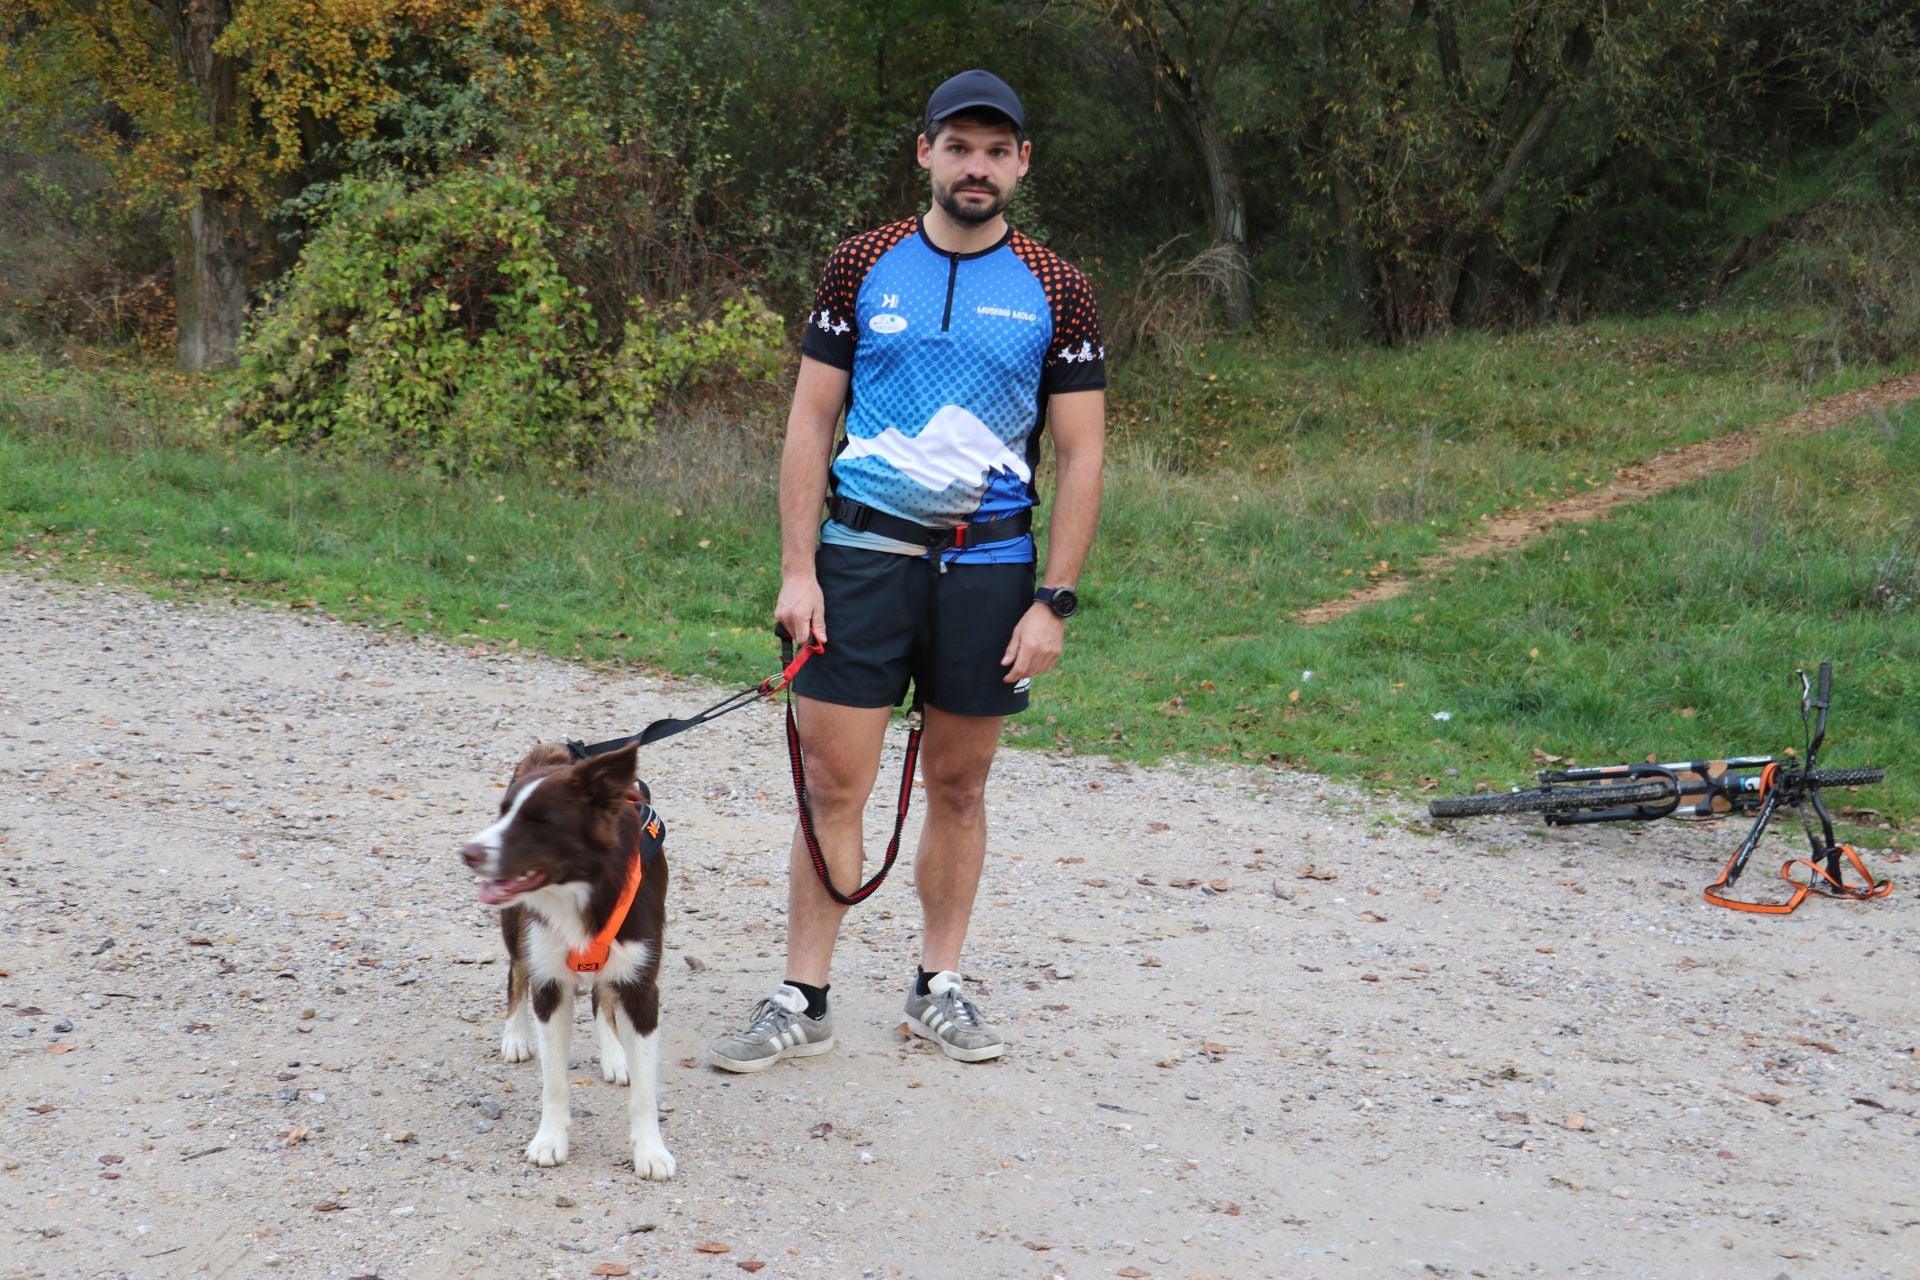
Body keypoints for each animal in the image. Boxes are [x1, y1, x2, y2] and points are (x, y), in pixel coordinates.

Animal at [456, 740, 675, 1182]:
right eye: (502, 812)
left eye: (538, 820)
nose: (467, 853)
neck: (583, 890)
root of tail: (557, 749)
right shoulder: (550, 984)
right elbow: (554, 1081)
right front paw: (549, 1140)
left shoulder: (641, 985)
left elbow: (645, 1089)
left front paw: (651, 1151)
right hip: (517, 928)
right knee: (516, 972)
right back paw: (516, 1036)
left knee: (602, 996)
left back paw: (614, 1053)